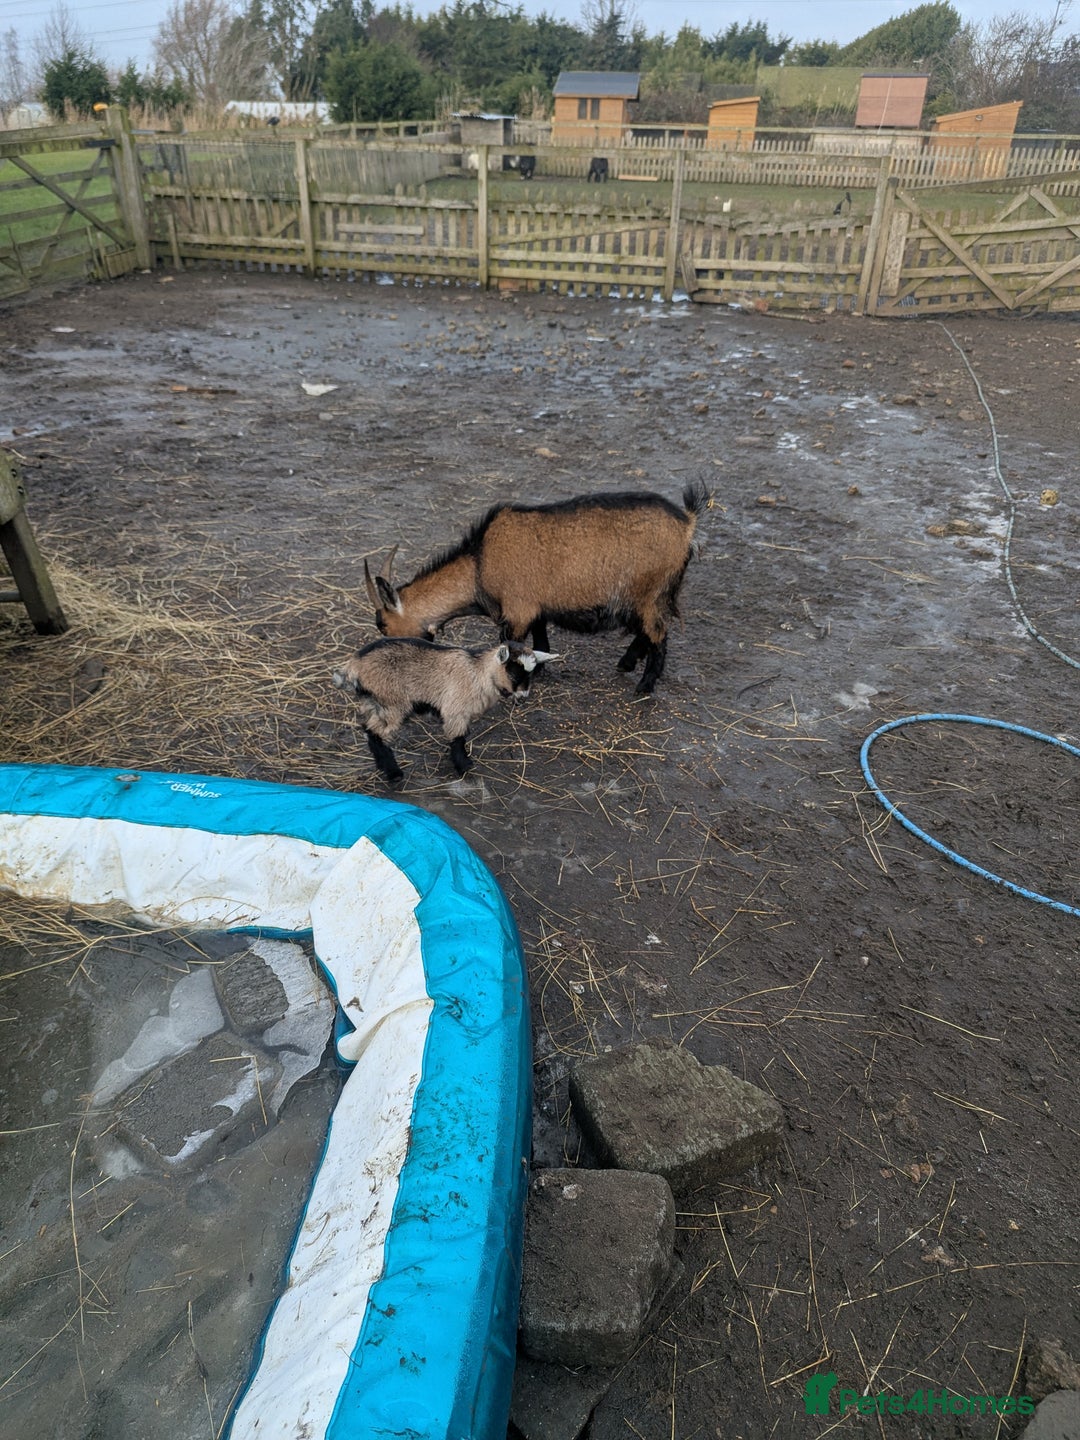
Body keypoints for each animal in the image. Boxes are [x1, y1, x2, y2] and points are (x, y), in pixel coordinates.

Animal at [332, 638, 555, 785]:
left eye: (530, 674)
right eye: (514, 673)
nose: (524, 696)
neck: (479, 673)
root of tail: (353, 666)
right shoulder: (456, 710)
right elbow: (458, 739)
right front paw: (464, 767)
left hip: (375, 702)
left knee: (368, 729)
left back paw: (383, 766)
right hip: (393, 703)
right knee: (377, 733)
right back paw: (394, 773)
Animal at [365, 483, 708, 696]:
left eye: (384, 626)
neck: (478, 564)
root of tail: (687, 523)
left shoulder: (517, 613)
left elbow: (510, 646)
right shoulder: (536, 607)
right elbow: (541, 637)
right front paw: (541, 669)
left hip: (650, 593)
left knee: (659, 635)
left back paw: (644, 687)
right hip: (644, 598)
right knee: (647, 632)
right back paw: (626, 663)